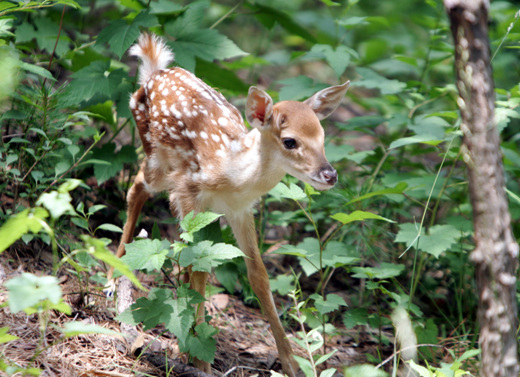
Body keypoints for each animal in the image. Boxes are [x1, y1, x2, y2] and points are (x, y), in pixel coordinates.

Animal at [105, 32, 350, 376]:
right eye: (289, 141)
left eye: (323, 137)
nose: (329, 175)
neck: (233, 172)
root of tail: (154, 71)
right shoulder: (187, 192)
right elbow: (198, 267)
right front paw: (199, 360)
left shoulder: (240, 211)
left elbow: (258, 276)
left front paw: (292, 364)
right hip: (155, 155)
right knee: (136, 188)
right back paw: (113, 279)